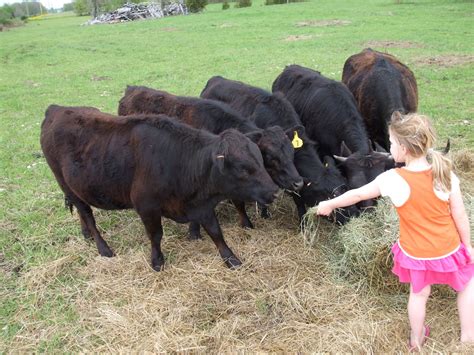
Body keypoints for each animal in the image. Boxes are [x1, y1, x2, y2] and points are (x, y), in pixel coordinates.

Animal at [41, 104, 278, 272]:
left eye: (260, 159)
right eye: (242, 168)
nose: (274, 191)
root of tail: (56, 109)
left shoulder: (201, 205)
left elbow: (216, 232)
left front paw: (231, 258)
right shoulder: (146, 207)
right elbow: (155, 235)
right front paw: (157, 262)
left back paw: (87, 235)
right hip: (65, 183)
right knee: (87, 214)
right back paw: (103, 248)